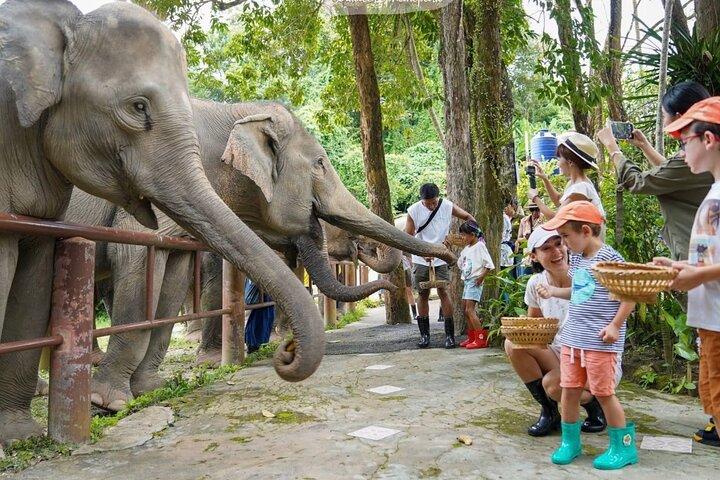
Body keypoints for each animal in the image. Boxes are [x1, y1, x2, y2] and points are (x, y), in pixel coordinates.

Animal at [64, 98, 454, 410]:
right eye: (320, 164)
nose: (447, 256)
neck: (235, 111)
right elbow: (140, 256)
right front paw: (110, 402)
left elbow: (173, 276)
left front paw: (150, 390)